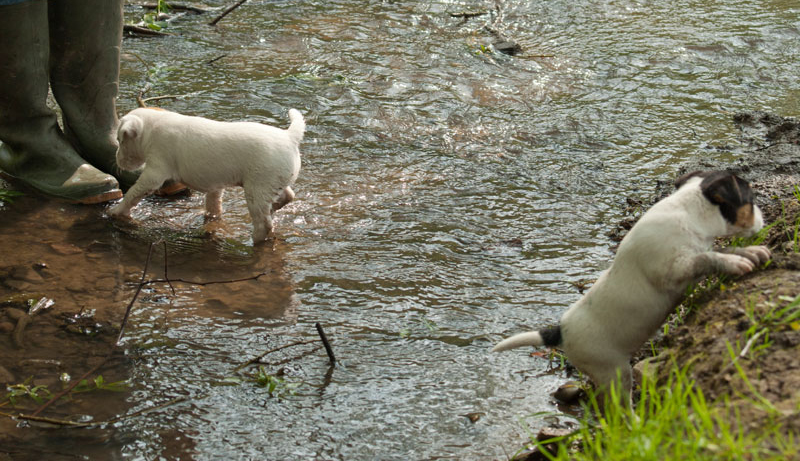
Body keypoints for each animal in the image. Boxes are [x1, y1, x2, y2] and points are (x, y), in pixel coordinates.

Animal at [108, 108, 304, 243]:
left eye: (120, 140)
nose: (116, 160)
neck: (151, 128)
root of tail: (289, 137)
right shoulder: (215, 185)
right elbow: (213, 204)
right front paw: (211, 220)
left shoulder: (154, 173)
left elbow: (133, 193)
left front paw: (116, 211)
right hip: (273, 182)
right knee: (288, 195)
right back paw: (274, 207)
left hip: (257, 188)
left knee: (264, 224)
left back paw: (253, 240)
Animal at [490, 171, 772, 404]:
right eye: (751, 200)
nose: (764, 219)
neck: (689, 212)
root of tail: (560, 331)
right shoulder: (674, 270)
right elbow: (707, 257)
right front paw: (735, 262)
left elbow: (718, 250)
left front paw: (749, 252)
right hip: (613, 372)